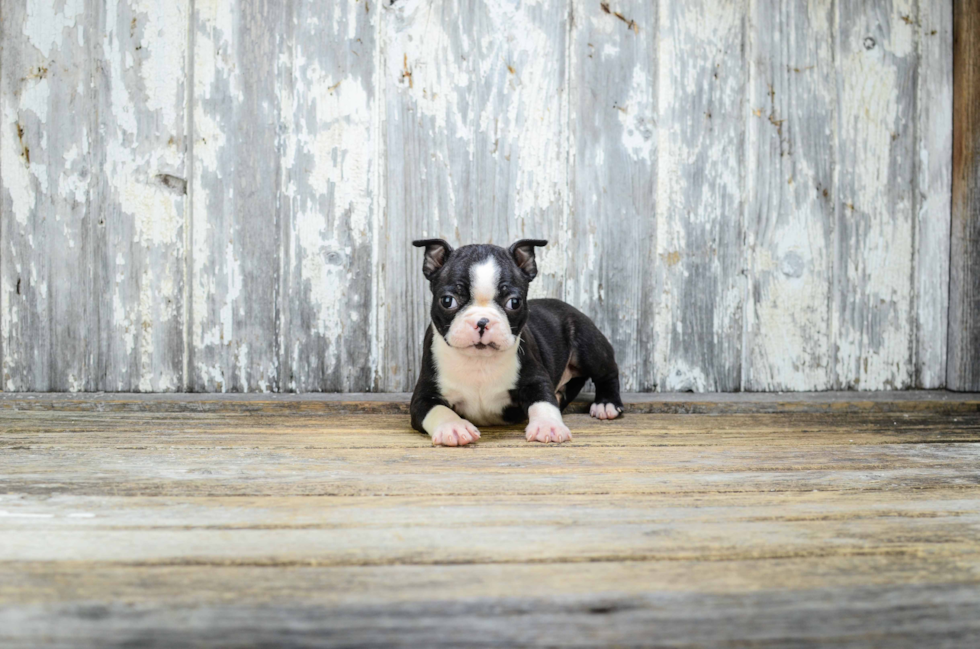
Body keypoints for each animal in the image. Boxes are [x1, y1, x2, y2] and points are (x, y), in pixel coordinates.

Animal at [410, 238, 624, 446]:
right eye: (447, 301)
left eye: (514, 302)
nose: (482, 321)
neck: (479, 361)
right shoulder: (423, 396)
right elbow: (439, 410)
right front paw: (453, 428)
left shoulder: (536, 379)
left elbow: (543, 402)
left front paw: (548, 426)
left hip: (587, 344)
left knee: (607, 372)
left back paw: (607, 403)